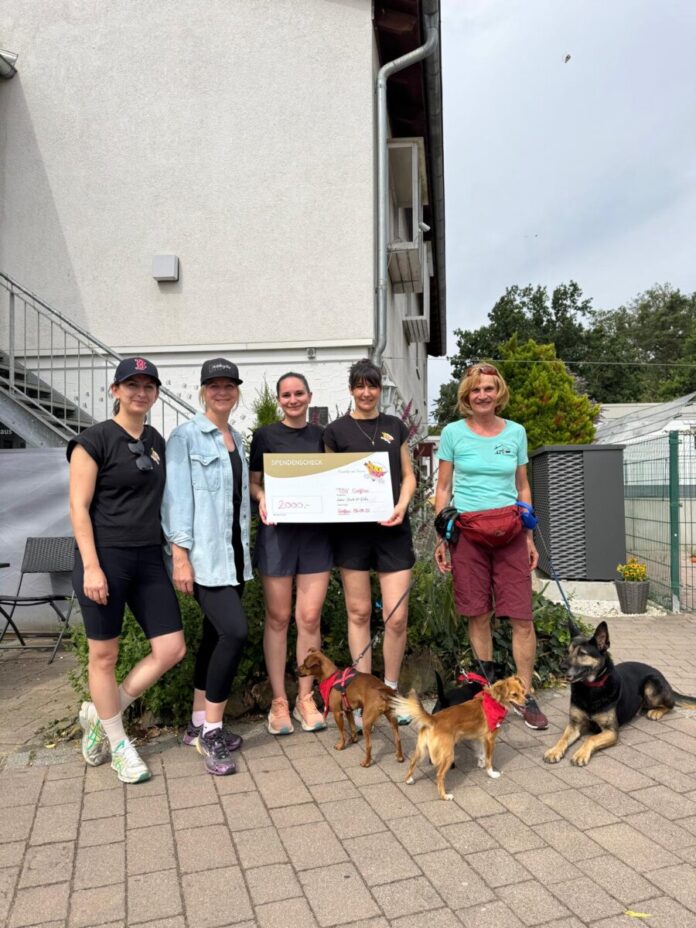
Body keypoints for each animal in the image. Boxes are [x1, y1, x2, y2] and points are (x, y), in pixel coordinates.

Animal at [392, 675, 527, 800]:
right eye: (514, 695)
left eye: (523, 692)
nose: (527, 702)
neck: (494, 702)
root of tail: (433, 719)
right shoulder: (490, 739)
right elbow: (489, 759)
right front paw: (491, 773)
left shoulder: (478, 737)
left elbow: (481, 752)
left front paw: (481, 762)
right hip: (448, 755)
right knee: (439, 775)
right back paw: (444, 796)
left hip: (422, 750)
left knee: (413, 762)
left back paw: (409, 779)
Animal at [544, 620, 696, 767]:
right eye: (567, 652)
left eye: (582, 653)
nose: (561, 667)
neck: (591, 688)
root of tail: (660, 674)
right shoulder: (574, 725)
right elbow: (563, 738)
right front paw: (554, 750)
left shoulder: (611, 731)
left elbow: (591, 738)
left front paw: (581, 754)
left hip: (651, 684)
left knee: (671, 704)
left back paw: (656, 712)